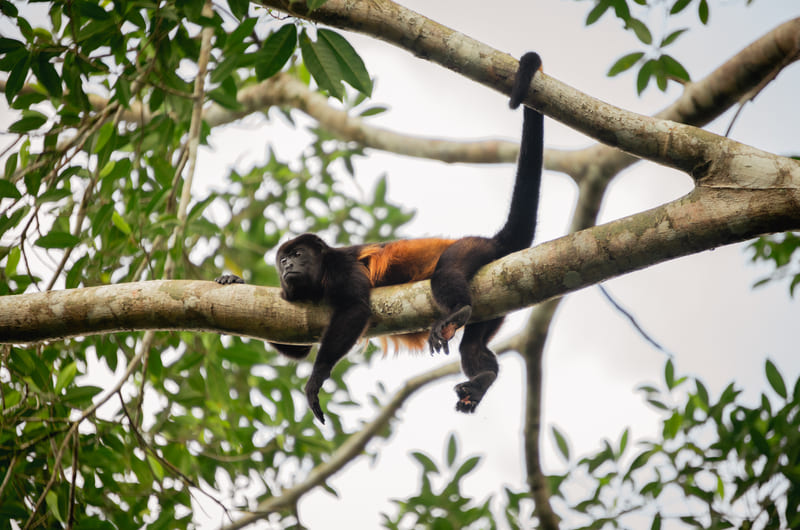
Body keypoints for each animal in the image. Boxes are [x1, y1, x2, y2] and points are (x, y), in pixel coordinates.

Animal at [216, 52, 543, 423]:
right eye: (283, 259)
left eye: (298, 254)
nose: (287, 267)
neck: (320, 274)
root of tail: (497, 241)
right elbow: (297, 349)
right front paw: (233, 280)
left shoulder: (341, 266)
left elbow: (356, 309)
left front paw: (316, 380)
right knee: (473, 345)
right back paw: (483, 378)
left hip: (475, 248)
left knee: (448, 272)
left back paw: (456, 313)